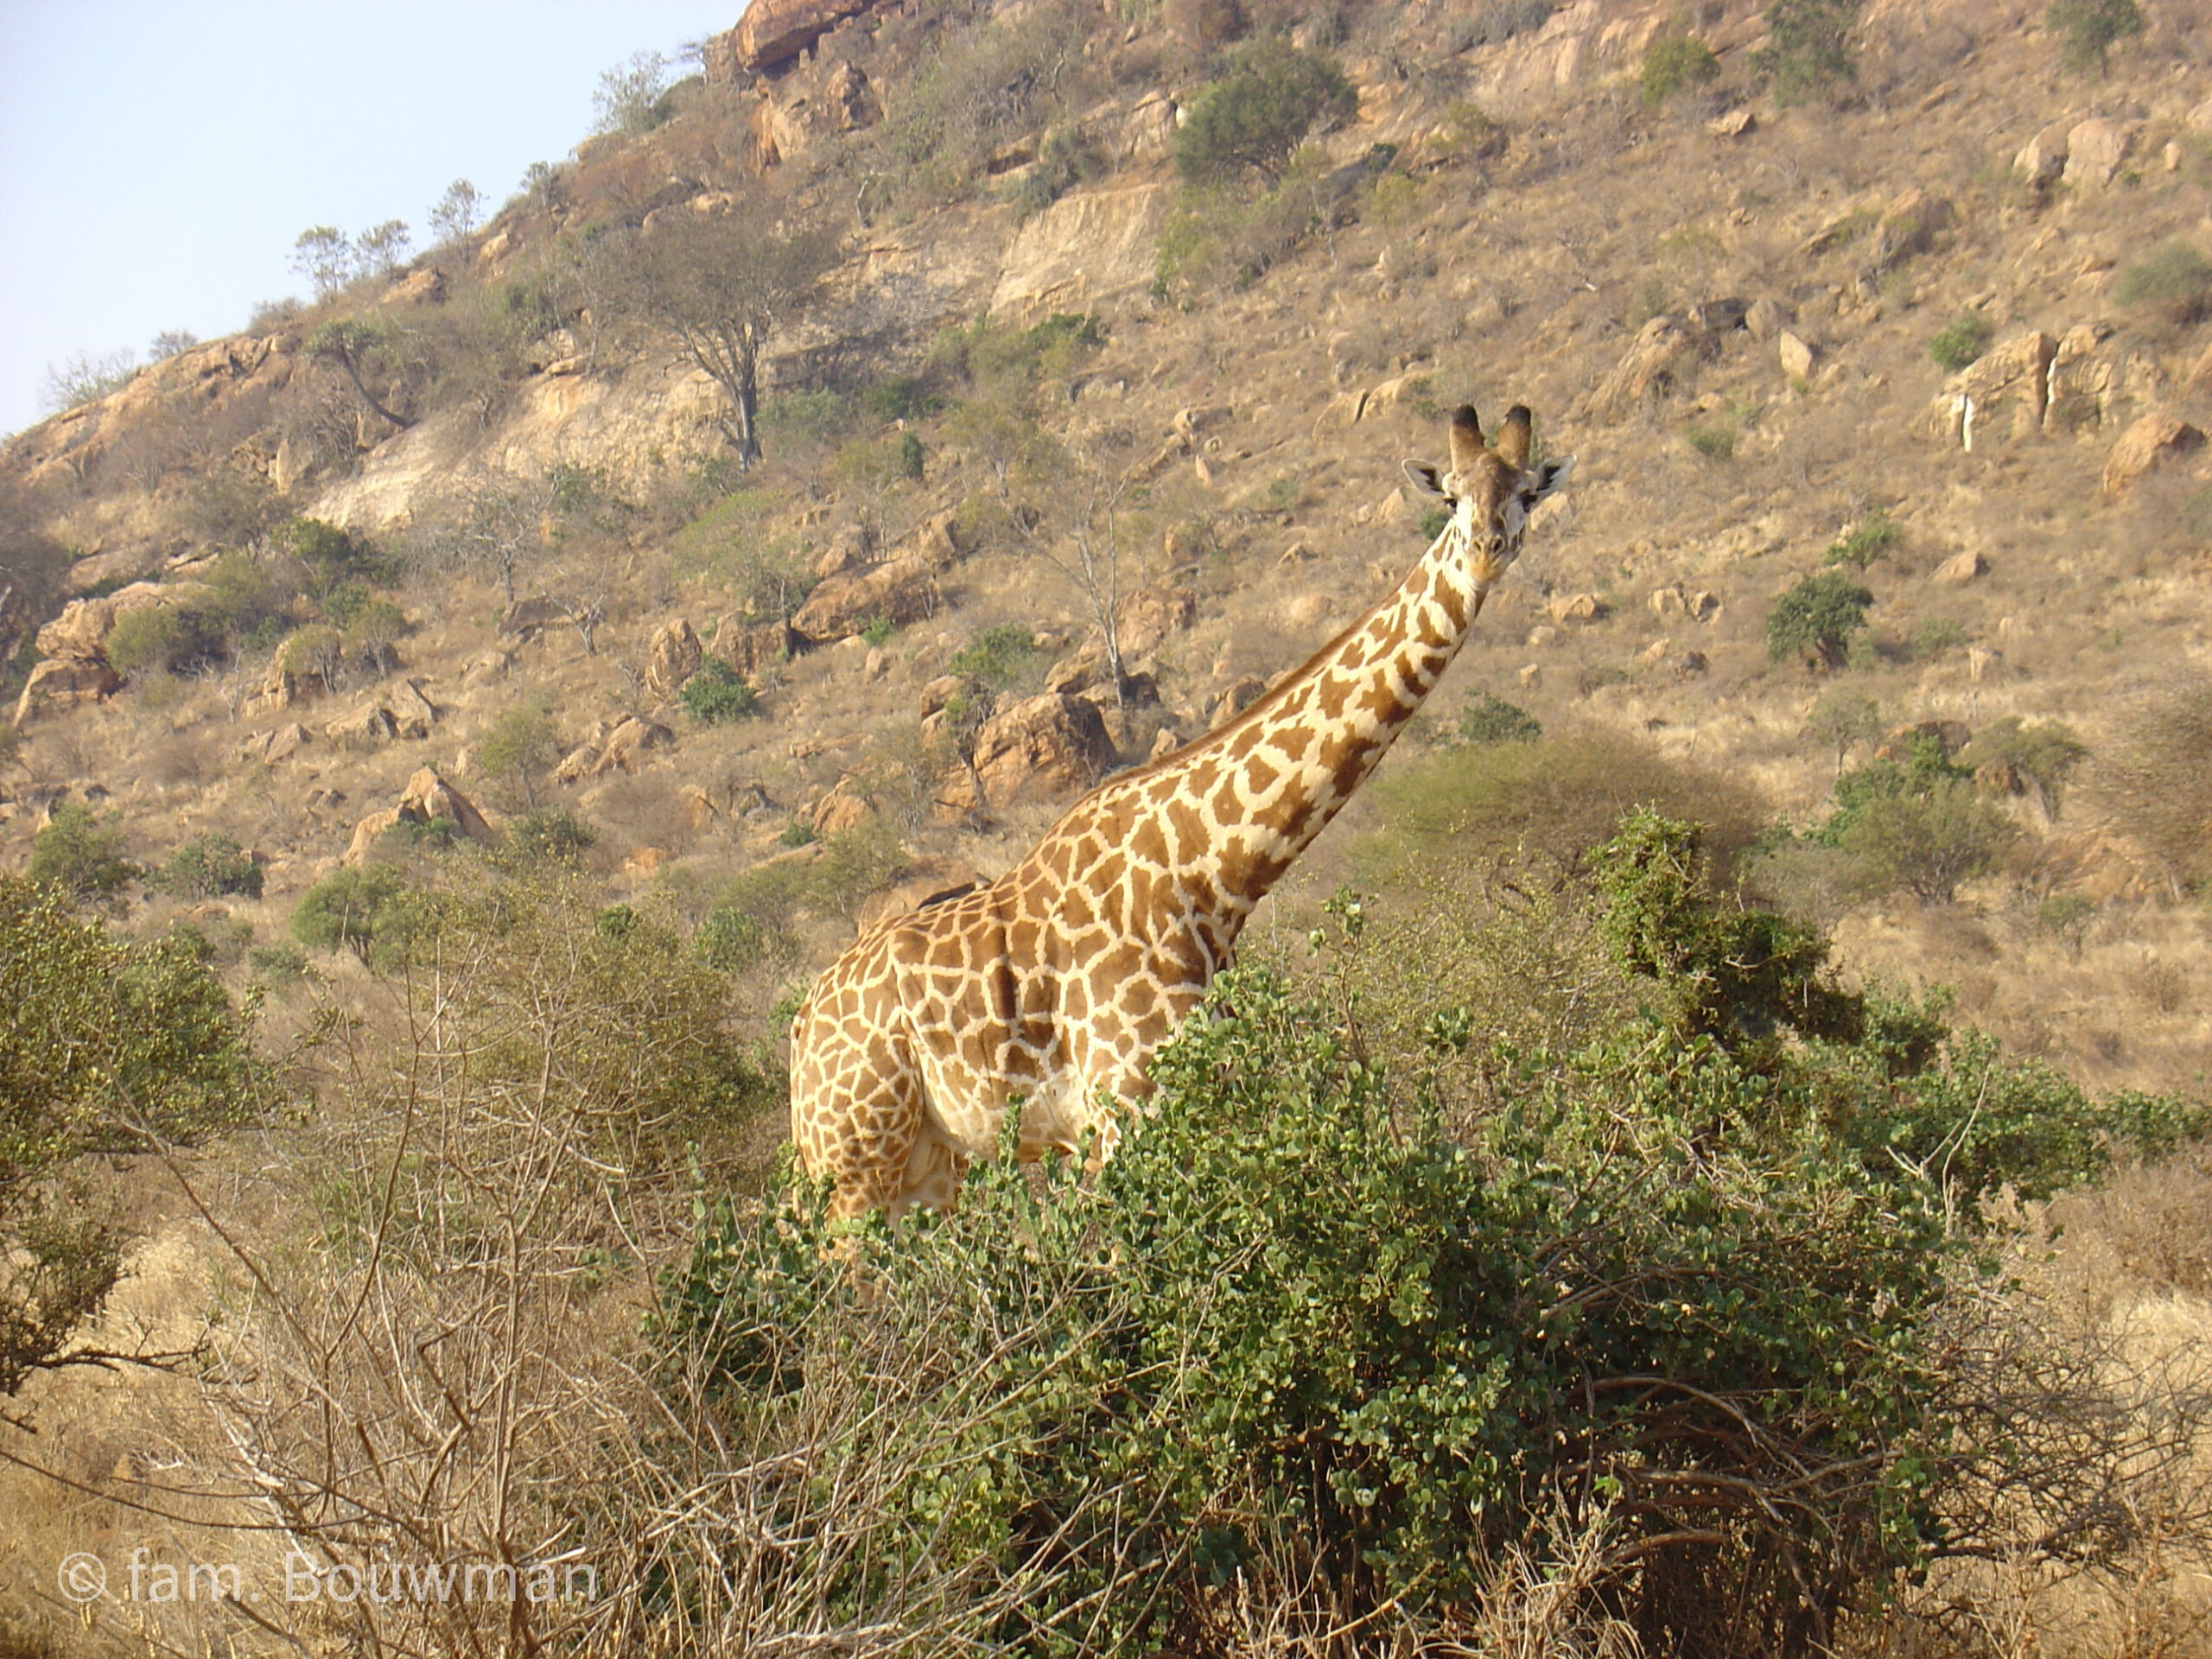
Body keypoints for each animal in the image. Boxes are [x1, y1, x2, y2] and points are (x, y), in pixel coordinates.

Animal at [796, 407, 1574, 1221]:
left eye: (1528, 493)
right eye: (1451, 496)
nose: (1486, 552)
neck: (1213, 873)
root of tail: (799, 1029)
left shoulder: (1200, 1095)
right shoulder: (1126, 1105)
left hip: (926, 1165)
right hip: (852, 1163)